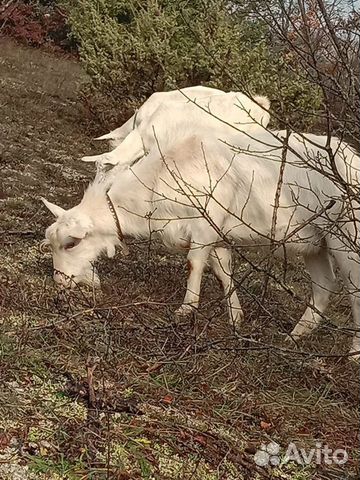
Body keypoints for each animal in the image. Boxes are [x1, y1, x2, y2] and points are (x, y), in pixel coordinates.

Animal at [43, 129, 360, 358]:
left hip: (347, 239)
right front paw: (235, 317)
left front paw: (186, 310)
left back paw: (353, 354)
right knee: (323, 286)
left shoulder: (206, 223)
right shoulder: (216, 234)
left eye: (71, 243)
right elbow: (222, 269)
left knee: (354, 291)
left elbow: (194, 264)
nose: (59, 281)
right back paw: (294, 336)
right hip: (316, 242)